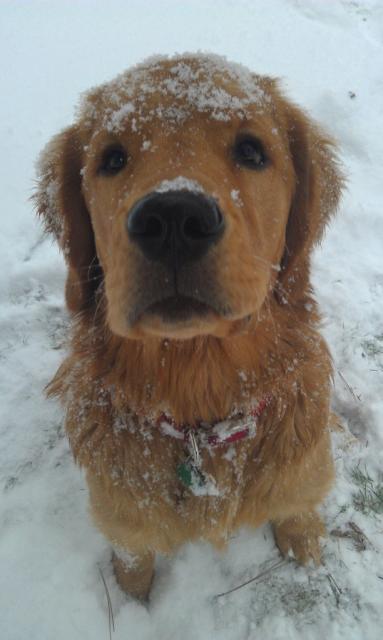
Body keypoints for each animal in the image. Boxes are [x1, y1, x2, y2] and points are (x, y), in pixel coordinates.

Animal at [34, 55, 344, 600]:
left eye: (251, 150)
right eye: (112, 159)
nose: (173, 217)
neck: (201, 414)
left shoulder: (307, 467)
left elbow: (299, 503)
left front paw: (303, 539)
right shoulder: (122, 519)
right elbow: (134, 561)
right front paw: (135, 600)